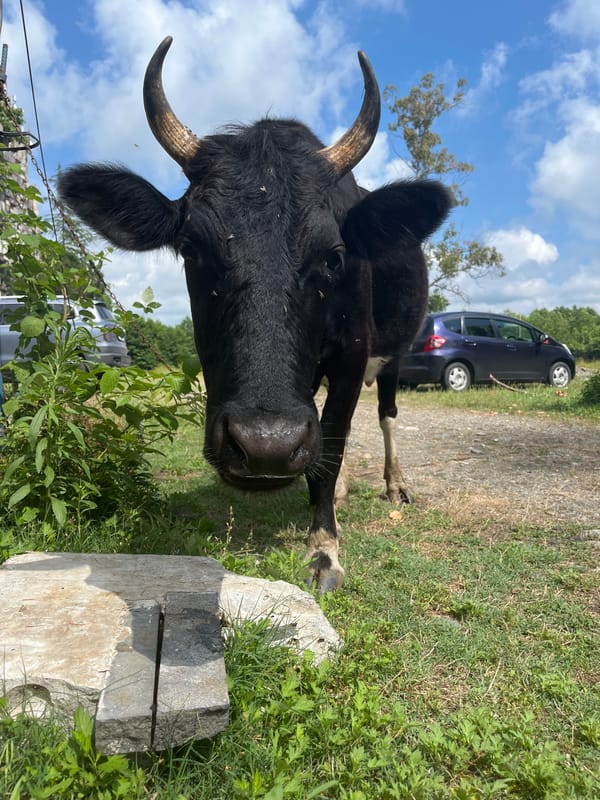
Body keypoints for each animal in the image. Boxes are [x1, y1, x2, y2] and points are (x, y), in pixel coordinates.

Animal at [58, 37, 451, 592]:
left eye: (334, 255)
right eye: (191, 249)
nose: (266, 446)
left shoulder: (352, 358)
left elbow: (333, 442)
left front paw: (324, 548)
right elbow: (327, 442)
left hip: (394, 353)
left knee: (386, 415)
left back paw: (394, 484)